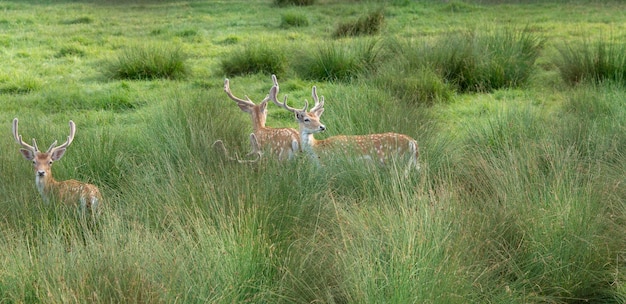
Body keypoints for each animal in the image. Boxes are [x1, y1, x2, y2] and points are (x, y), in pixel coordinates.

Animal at [268, 75, 420, 175]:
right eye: (306, 119)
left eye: (317, 117)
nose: (322, 127)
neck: (317, 152)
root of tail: (413, 143)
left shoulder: (332, 167)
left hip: (397, 164)